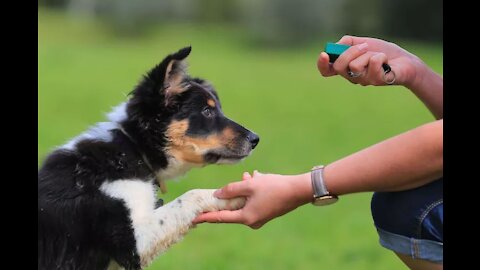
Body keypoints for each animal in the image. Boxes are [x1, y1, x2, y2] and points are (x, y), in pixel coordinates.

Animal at [38, 47, 260, 270]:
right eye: (207, 111)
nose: (255, 139)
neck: (132, 149)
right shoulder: (132, 244)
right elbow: (191, 195)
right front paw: (238, 195)